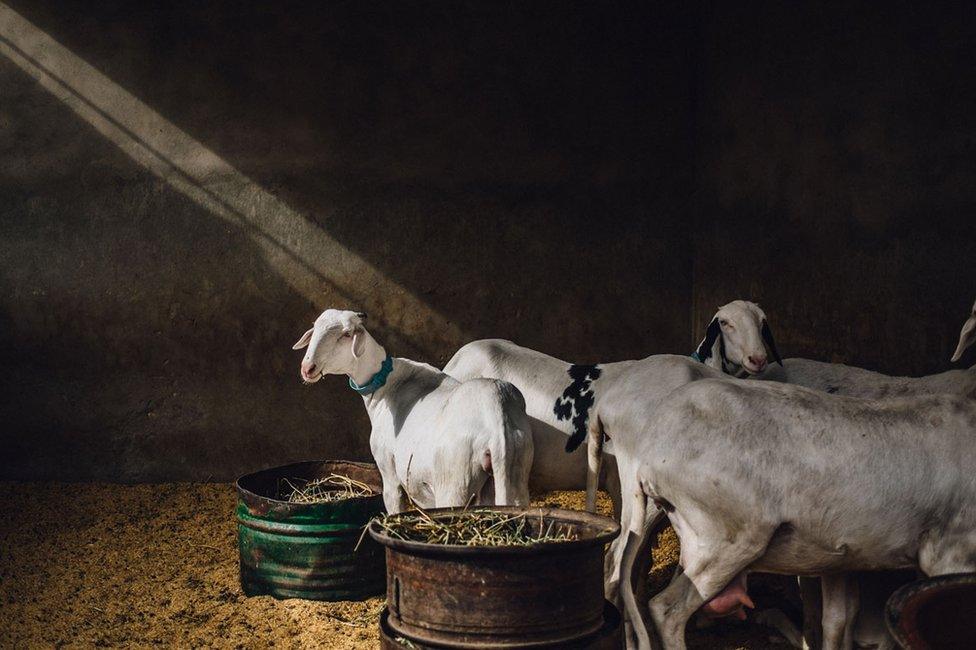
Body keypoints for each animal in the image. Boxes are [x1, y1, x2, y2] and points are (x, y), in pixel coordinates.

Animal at [294, 308, 532, 512]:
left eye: (346, 334)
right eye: (315, 328)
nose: (307, 368)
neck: (385, 384)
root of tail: (495, 417)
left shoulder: (387, 468)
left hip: (455, 481)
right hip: (514, 474)